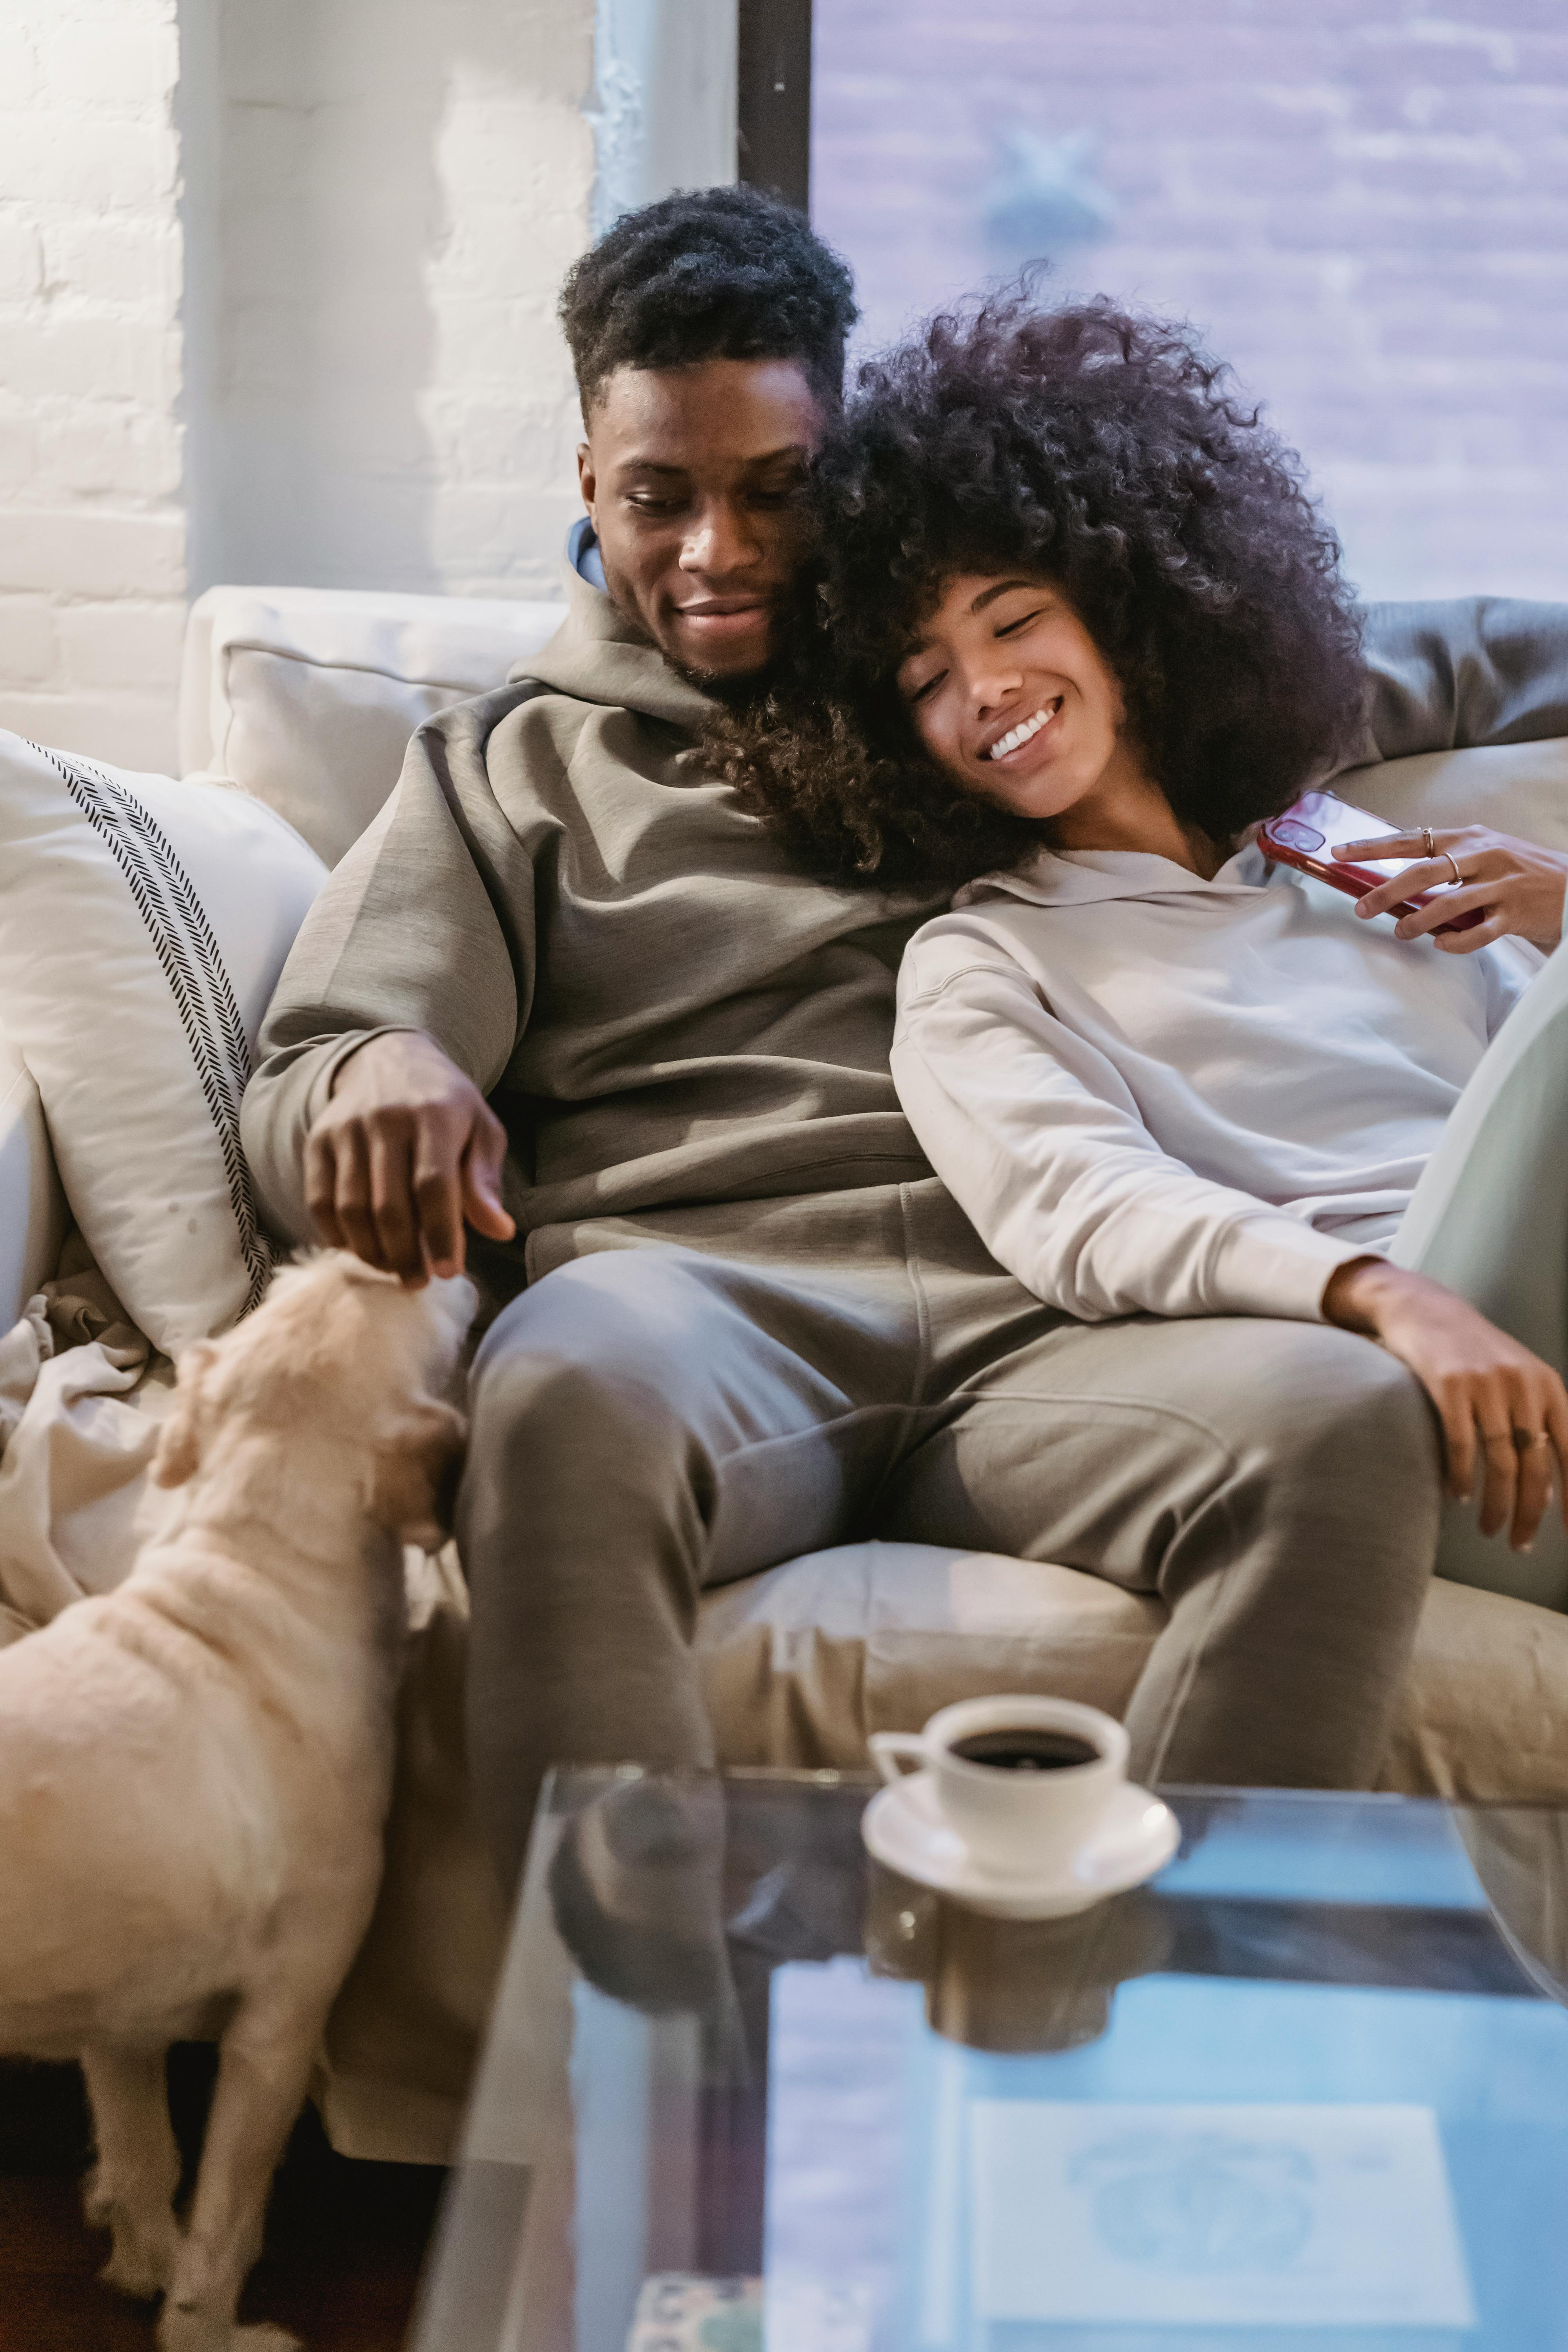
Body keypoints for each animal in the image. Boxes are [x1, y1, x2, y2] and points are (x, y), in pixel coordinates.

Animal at [0, 1251, 472, 2333]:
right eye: (421, 1301)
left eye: (296, 1284)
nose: (372, 1248)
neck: (259, 1566)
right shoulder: (283, 2024)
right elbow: (224, 2228)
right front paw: (210, 2326)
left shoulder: (119, 2014)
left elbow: (145, 2163)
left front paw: (137, 2255)